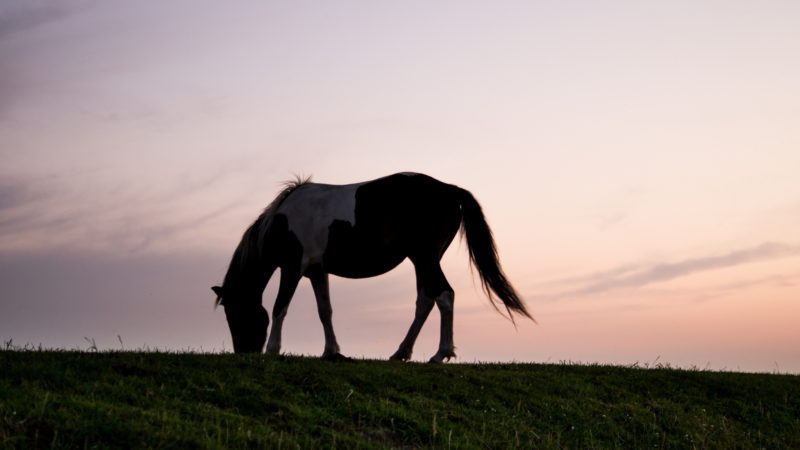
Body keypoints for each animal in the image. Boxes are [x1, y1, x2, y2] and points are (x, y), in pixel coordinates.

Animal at [214, 171, 532, 362]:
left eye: (235, 314)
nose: (244, 352)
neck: (282, 221)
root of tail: (450, 190)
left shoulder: (292, 268)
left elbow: (280, 307)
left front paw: (272, 349)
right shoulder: (317, 271)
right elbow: (325, 311)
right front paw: (332, 352)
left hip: (425, 257)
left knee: (444, 295)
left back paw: (440, 354)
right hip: (422, 260)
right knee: (426, 300)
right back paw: (402, 352)